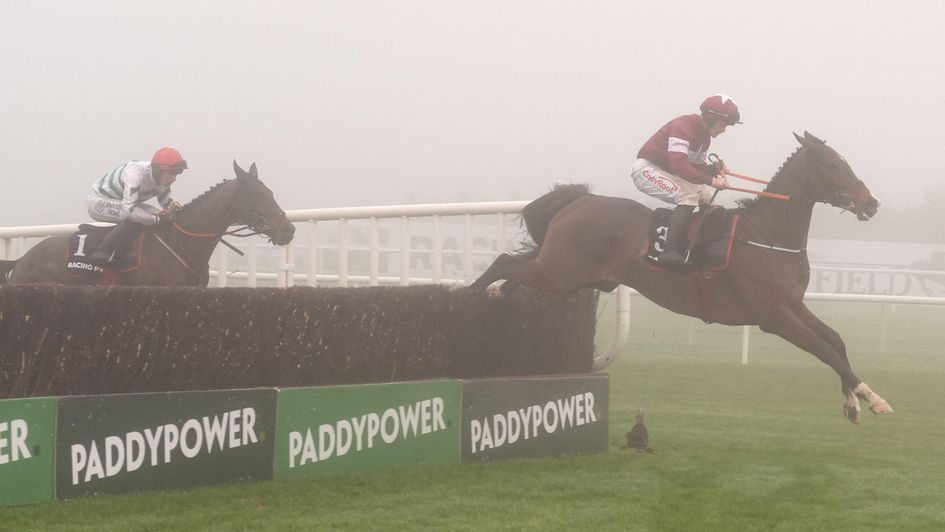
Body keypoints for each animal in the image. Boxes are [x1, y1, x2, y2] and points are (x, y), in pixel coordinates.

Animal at [472, 132, 892, 424]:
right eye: (835, 166)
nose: (871, 203)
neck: (768, 236)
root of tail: (579, 200)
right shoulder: (772, 316)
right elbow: (824, 350)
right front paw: (872, 397)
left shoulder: (792, 304)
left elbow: (835, 341)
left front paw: (852, 403)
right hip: (559, 272)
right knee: (503, 263)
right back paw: (474, 300)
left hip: (563, 272)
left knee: (513, 275)